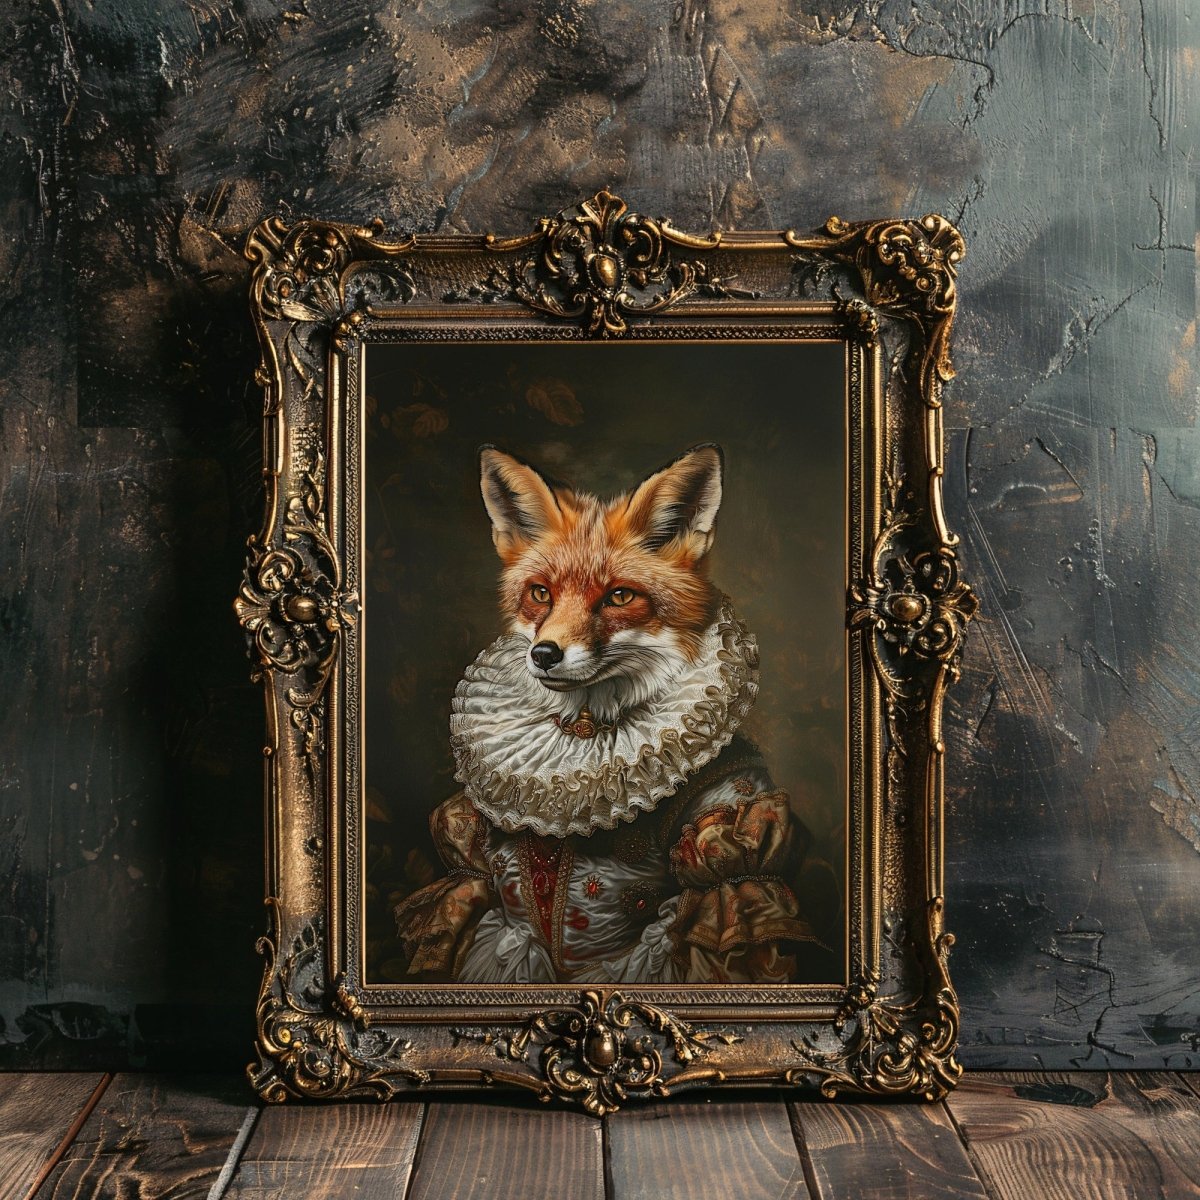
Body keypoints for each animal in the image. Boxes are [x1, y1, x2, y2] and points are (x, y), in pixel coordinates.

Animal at [395, 444, 830, 986]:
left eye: (619, 596)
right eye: (541, 593)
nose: (544, 654)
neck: (582, 731)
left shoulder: (731, 840)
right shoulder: (468, 859)